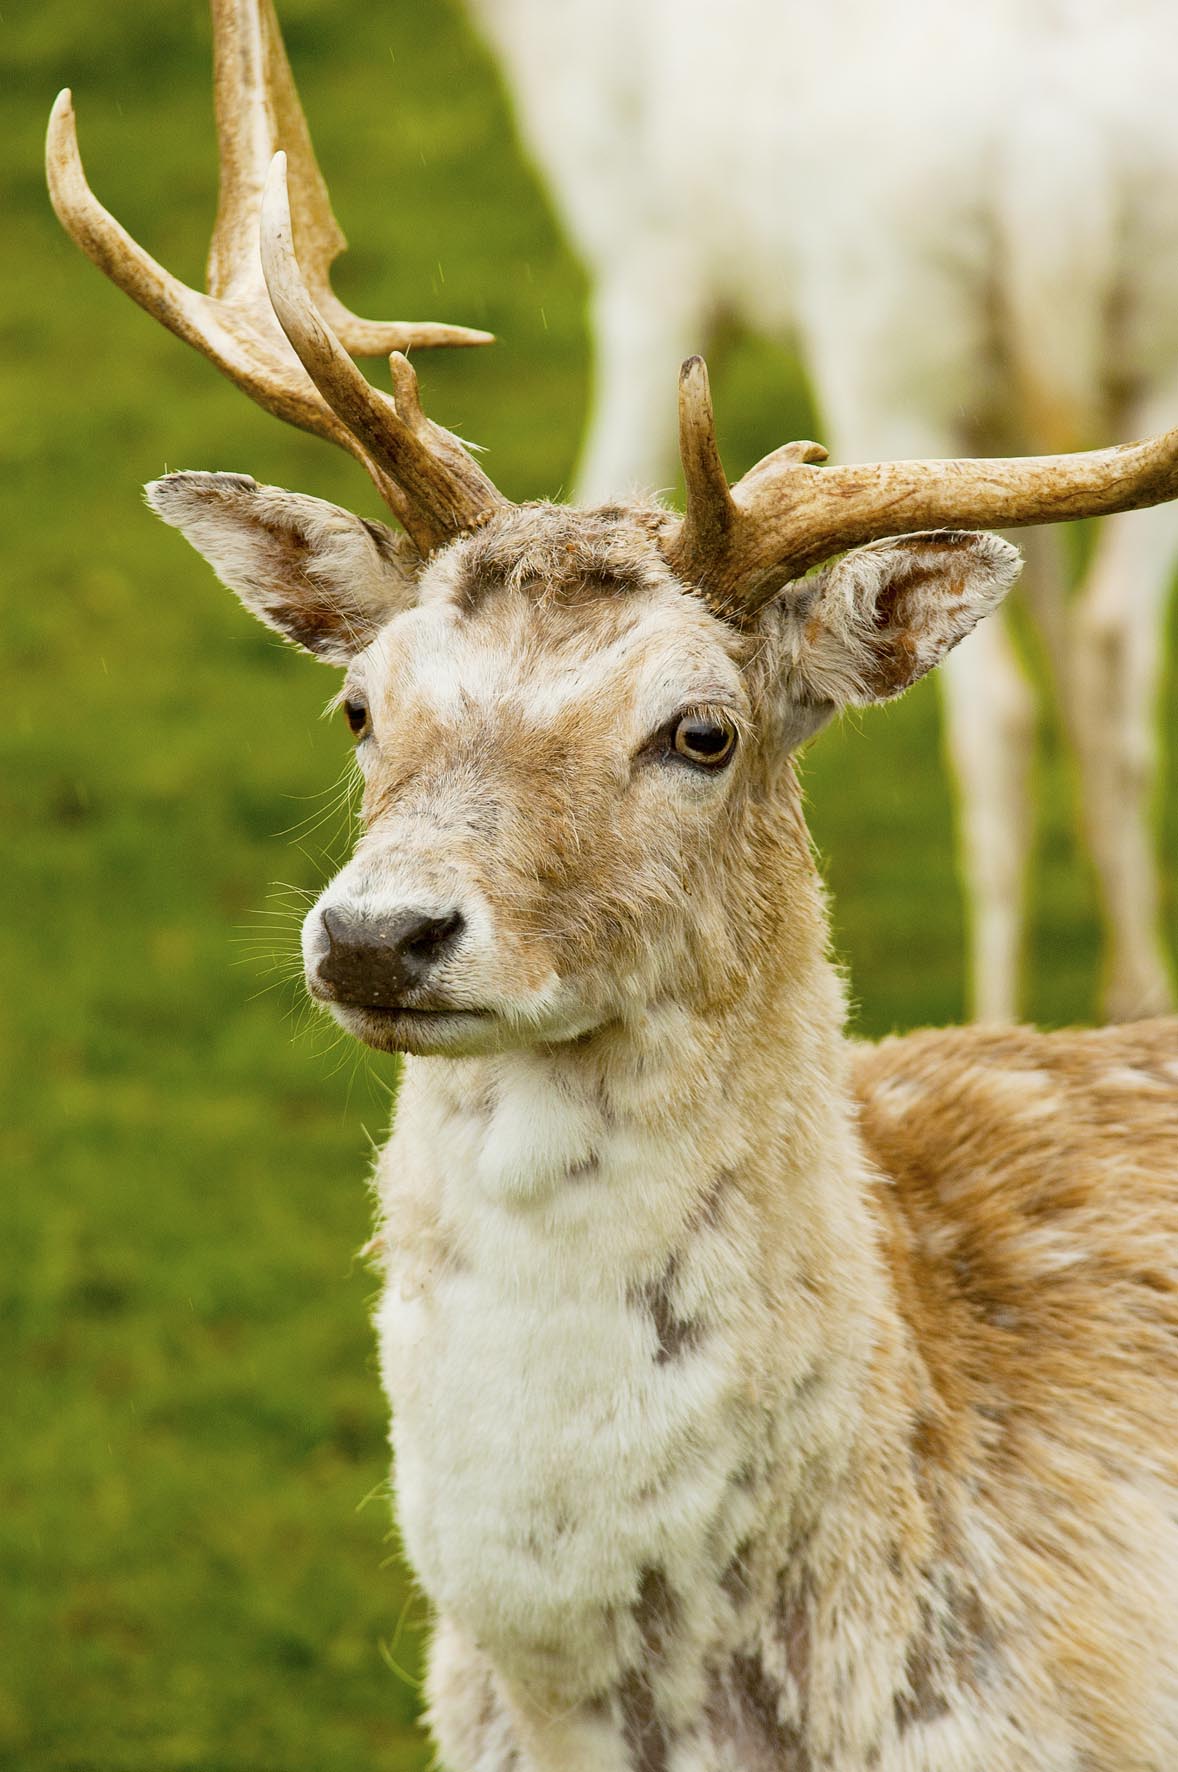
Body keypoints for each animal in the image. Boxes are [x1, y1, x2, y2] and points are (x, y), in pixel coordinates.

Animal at [464, 0, 1178, 1026]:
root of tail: (1058, 153)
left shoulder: (649, 253)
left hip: (884, 355)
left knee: (999, 713)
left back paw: (992, 1018)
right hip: (1142, 362)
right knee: (1112, 647)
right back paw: (1135, 997)